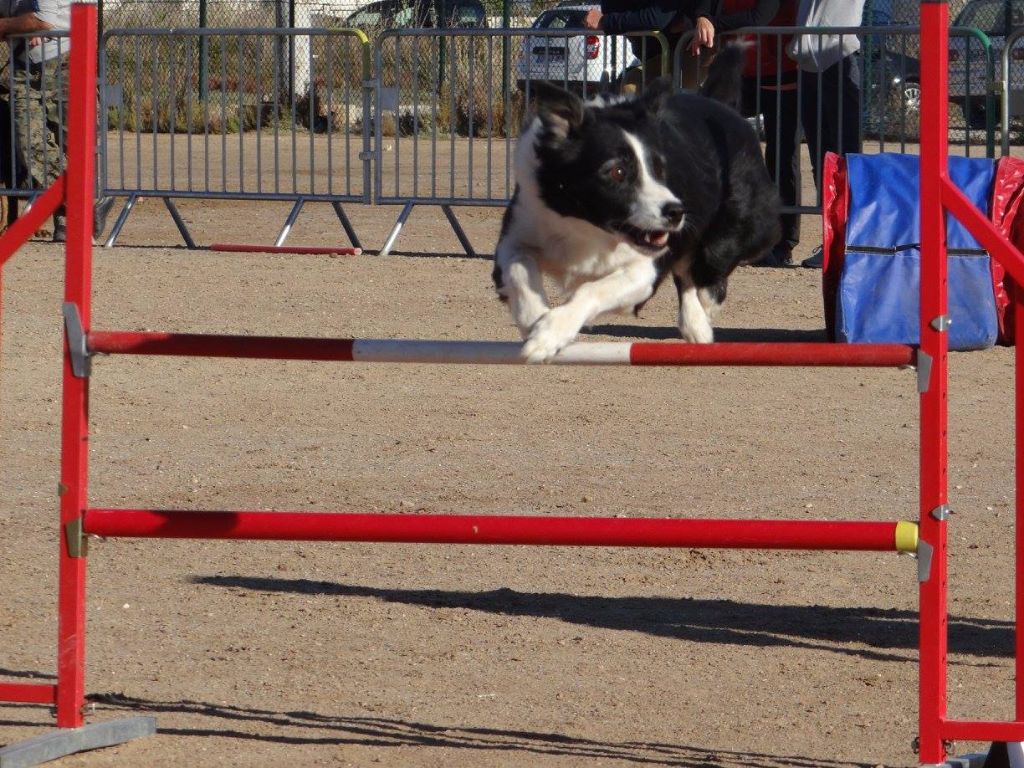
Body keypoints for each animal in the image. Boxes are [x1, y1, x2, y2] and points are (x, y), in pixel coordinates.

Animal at [491, 46, 778, 362]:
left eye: (660, 168)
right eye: (617, 171)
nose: (676, 212)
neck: (586, 225)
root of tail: (718, 103)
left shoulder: (644, 270)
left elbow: (591, 289)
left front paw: (550, 332)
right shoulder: (520, 229)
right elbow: (519, 269)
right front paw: (534, 321)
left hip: (743, 226)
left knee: (706, 265)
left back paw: (707, 304)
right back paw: (696, 325)